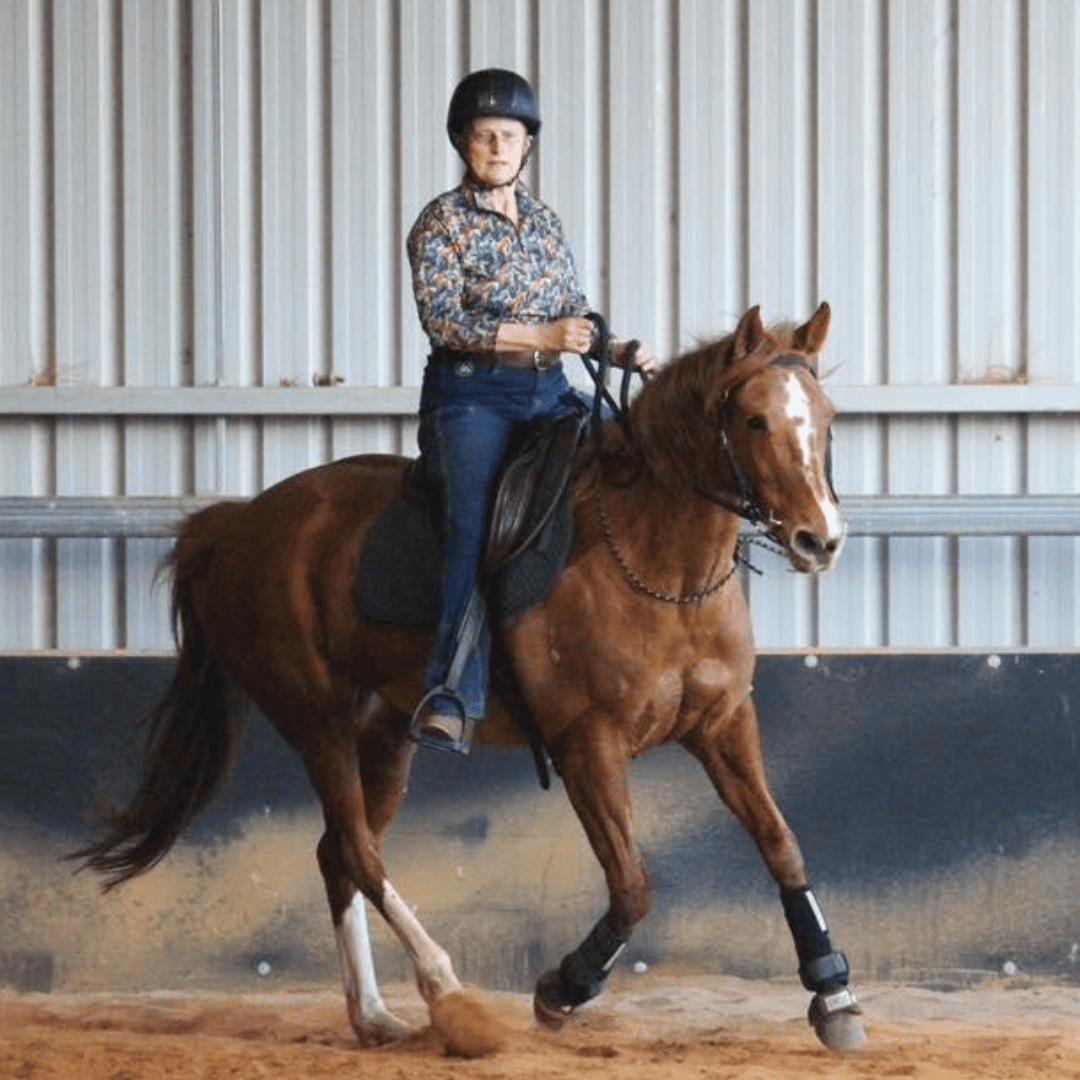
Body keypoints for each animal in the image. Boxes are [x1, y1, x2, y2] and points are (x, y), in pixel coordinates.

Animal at [74, 302, 865, 1054]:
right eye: (755, 420)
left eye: (827, 418)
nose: (820, 540)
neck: (659, 567)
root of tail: (237, 525)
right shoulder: (588, 745)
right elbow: (632, 887)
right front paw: (561, 991)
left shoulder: (724, 724)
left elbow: (782, 846)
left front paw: (835, 998)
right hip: (315, 720)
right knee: (358, 851)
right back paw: (447, 993)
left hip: (388, 734)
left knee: (338, 854)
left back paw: (374, 1017)